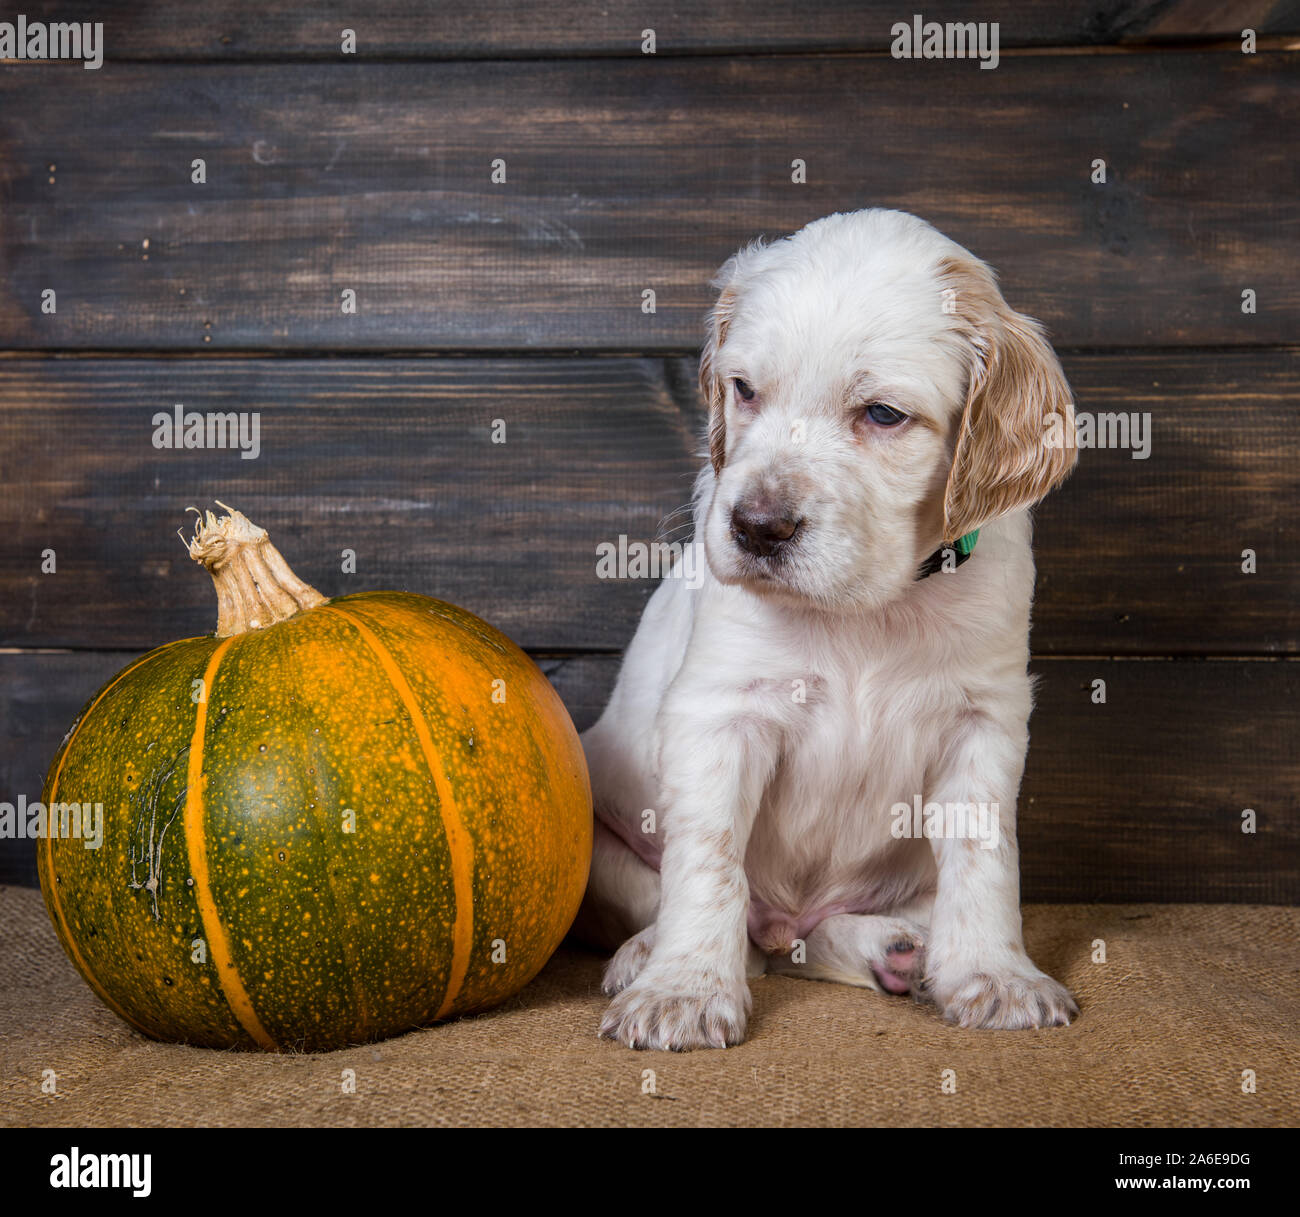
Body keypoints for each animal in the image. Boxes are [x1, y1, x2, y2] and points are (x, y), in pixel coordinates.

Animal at [577, 206, 1076, 1045]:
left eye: (882, 414)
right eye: (744, 389)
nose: (756, 528)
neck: (868, 605)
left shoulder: (984, 718)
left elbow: (985, 856)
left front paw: (995, 974)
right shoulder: (720, 711)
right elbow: (708, 862)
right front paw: (683, 990)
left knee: (826, 933)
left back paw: (901, 950)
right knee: (737, 928)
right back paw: (649, 954)